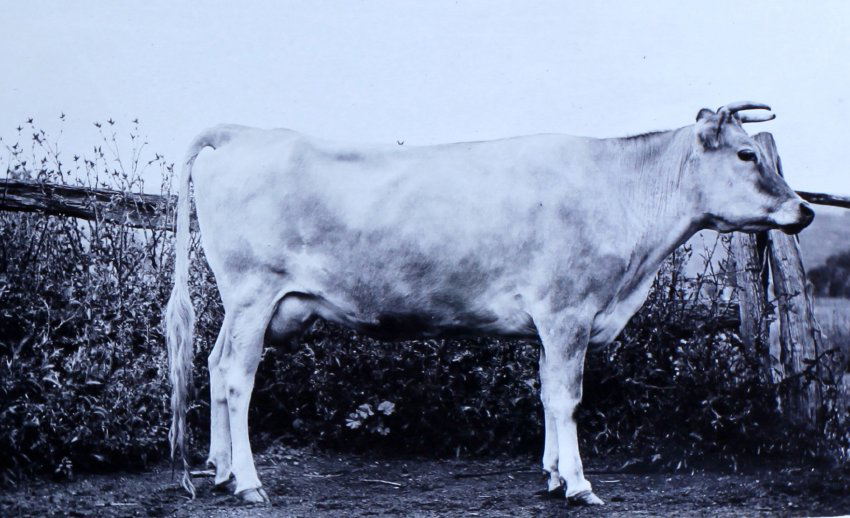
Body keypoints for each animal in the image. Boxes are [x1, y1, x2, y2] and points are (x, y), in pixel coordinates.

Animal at [165, 102, 814, 505]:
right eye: (746, 155)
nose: (805, 210)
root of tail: (244, 132)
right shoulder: (568, 312)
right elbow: (568, 398)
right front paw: (580, 485)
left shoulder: (549, 324)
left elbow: (547, 394)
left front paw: (553, 476)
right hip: (254, 293)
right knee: (236, 377)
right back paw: (248, 483)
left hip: (246, 306)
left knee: (214, 365)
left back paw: (221, 471)